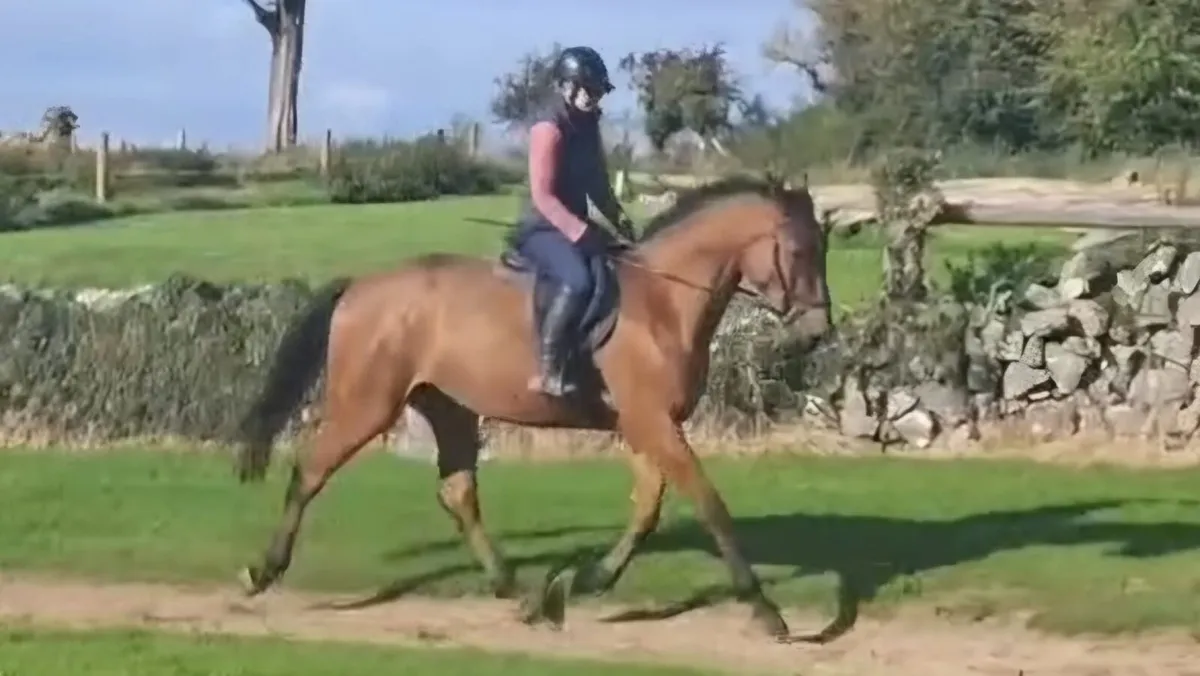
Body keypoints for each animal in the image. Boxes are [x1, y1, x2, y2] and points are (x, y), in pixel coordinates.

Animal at [233, 174, 832, 641]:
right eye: (798, 252)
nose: (817, 332)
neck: (662, 303)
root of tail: (361, 286)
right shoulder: (652, 423)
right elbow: (709, 505)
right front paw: (766, 612)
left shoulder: (645, 425)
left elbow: (646, 508)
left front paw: (585, 582)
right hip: (367, 405)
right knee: (310, 471)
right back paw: (263, 572)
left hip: (449, 407)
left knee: (457, 492)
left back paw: (518, 593)